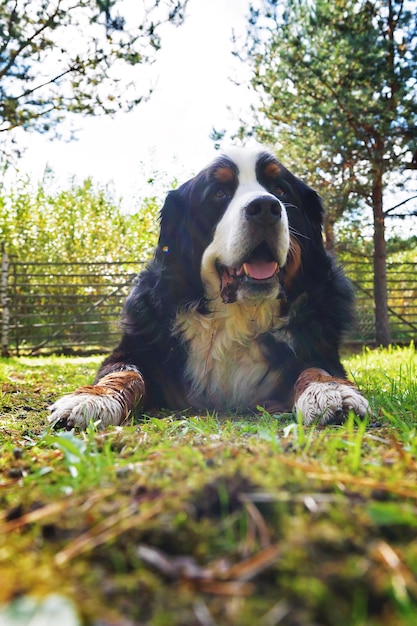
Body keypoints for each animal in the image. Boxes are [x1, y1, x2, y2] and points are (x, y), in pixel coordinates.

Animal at [48, 147, 368, 428]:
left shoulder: (318, 345)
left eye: (280, 190)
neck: (238, 315)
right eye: (219, 193)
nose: (265, 207)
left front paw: (331, 392)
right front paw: (91, 399)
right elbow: (123, 372)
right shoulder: (137, 347)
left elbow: (316, 368)